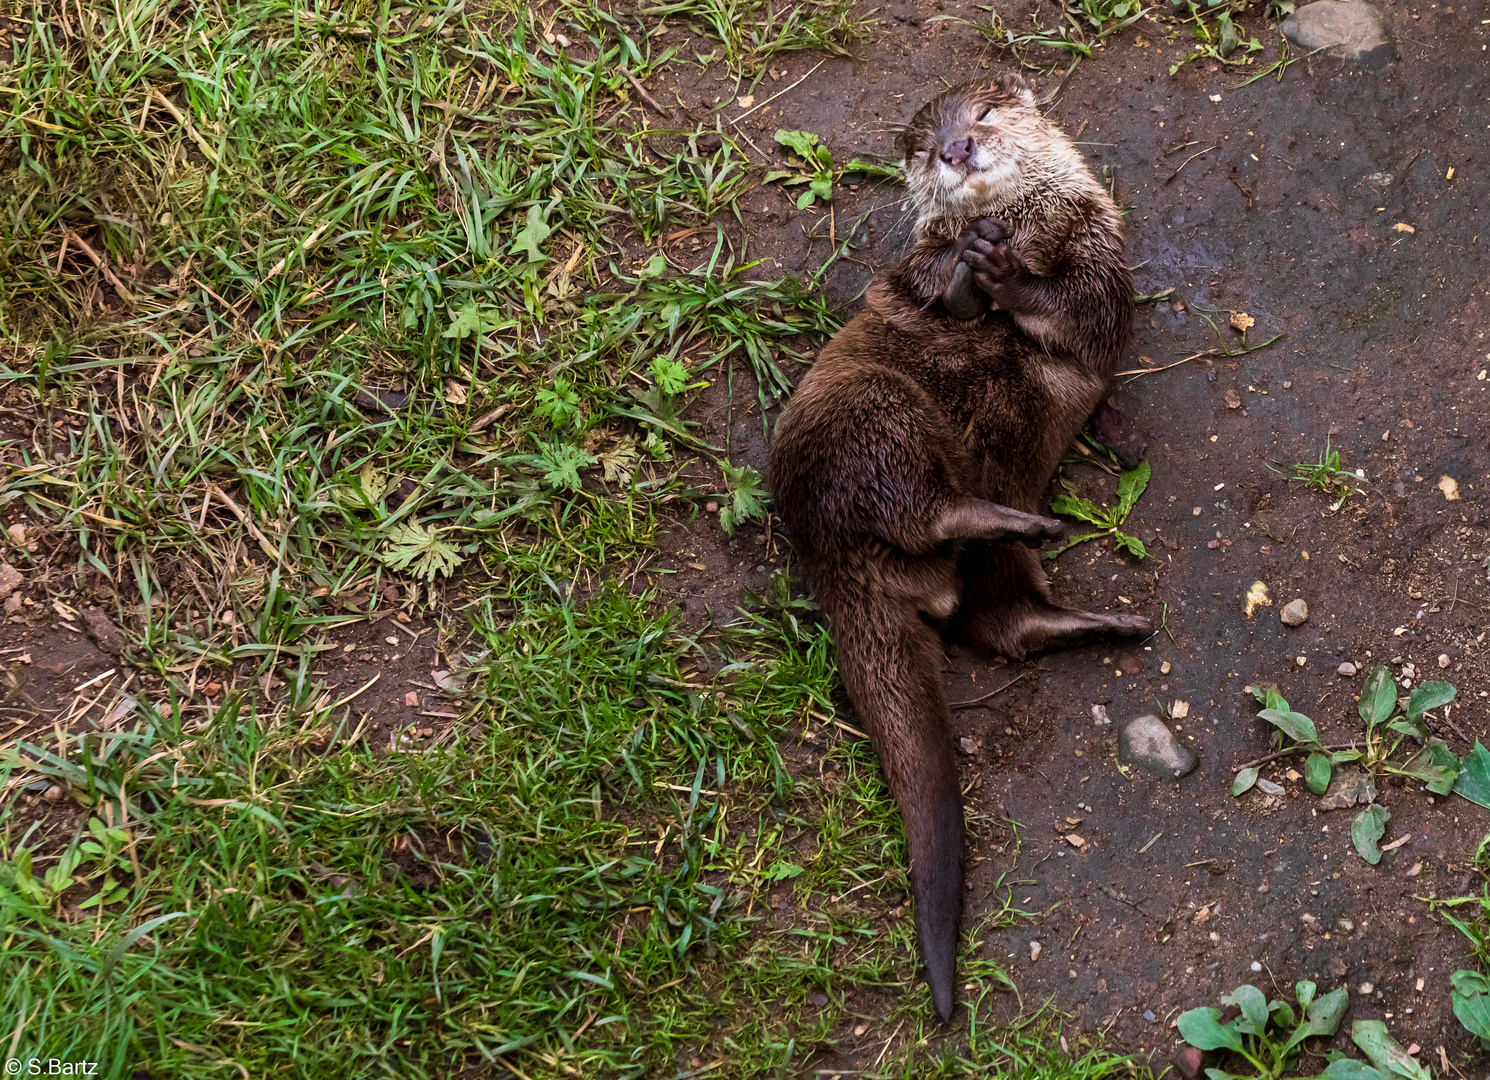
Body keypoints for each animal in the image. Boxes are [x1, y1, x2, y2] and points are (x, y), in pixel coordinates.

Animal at [768, 77, 1150, 1018]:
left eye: (980, 117)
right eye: (920, 144)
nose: (955, 150)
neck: (1026, 224)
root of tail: (826, 555)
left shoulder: (1102, 252)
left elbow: (1084, 317)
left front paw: (1008, 276)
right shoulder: (912, 273)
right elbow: (924, 285)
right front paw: (976, 276)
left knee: (996, 615)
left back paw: (1085, 615)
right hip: (876, 410)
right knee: (925, 513)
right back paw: (1022, 530)